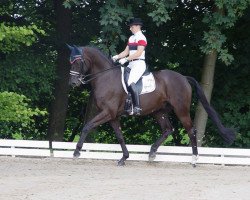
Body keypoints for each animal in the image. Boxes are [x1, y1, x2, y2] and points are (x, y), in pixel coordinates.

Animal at [67, 45, 235, 166]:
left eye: (78, 62)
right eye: (70, 62)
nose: (73, 83)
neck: (105, 76)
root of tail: (183, 78)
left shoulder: (108, 112)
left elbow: (87, 126)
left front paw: (76, 152)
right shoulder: (113, 116)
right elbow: (120, 136)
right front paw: (124, 158)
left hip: (181, 110)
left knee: (190, 130)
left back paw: (194, 159)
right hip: (159, 111)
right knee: (168, 129)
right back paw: (152, 153)